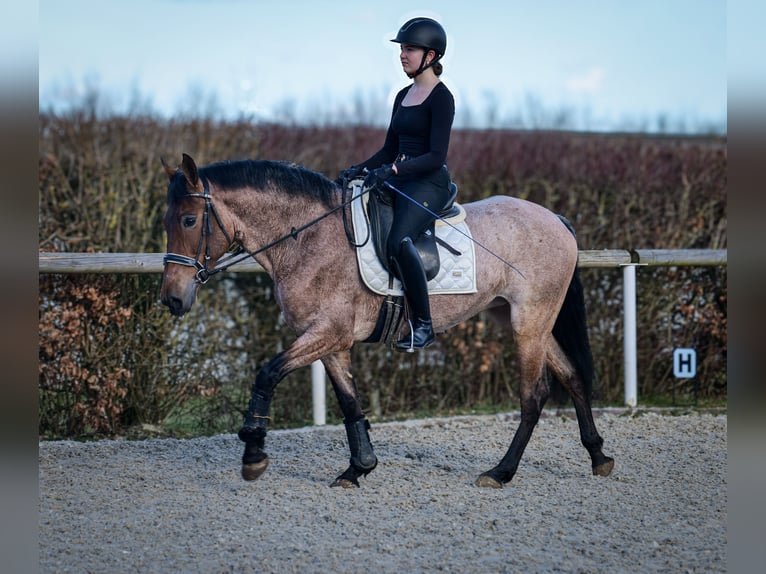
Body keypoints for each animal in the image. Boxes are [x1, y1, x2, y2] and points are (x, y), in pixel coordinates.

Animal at [159, 153, 616, 490]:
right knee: (572, 377)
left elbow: (267, 373)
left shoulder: (326, 332)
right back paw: (598, 456)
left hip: (529, 322)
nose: (172, 299)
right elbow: (349, 401)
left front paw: (253, 452)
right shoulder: (330, 339)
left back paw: (500, 472)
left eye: (188, 220)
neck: (308, 239)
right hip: (526, 321)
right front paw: (359, 467)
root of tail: (556, 220)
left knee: (534, 394)